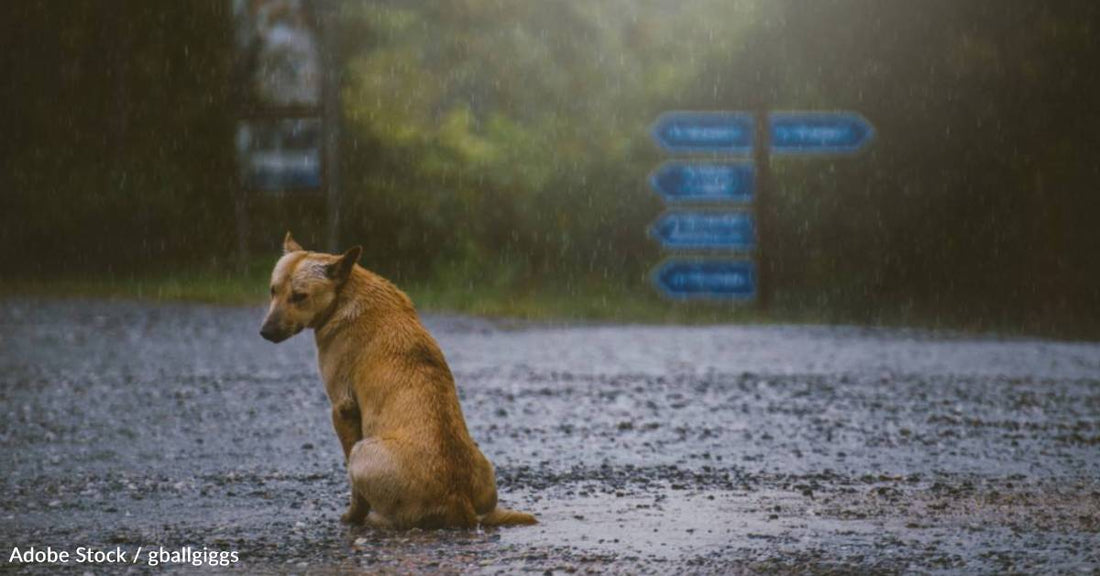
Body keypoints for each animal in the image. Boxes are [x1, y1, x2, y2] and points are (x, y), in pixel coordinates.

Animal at [257, 231, 532, 529]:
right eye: (273, 291)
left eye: (299, 296)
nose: (265, 332)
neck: (346, 294)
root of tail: (460, 502)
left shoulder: (343, 408)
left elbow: (355, 493)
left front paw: (352, 517)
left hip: (362, 452)